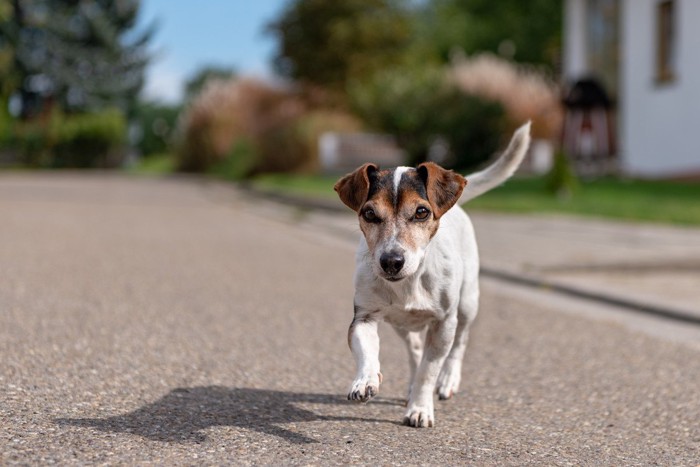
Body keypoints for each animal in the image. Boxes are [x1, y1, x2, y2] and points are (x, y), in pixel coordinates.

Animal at [334, 123, 532, 428]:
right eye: (369, 214)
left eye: (421, 212)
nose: (391, 262)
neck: (410, 283)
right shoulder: (364, 316)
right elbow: (368, 351)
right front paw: (365, 380)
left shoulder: (444, 323)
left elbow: (429, 370)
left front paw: (419, 408)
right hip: (400, 324)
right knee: (414, 349)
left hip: (467, 305)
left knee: (460, 344)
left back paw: (448, 379)